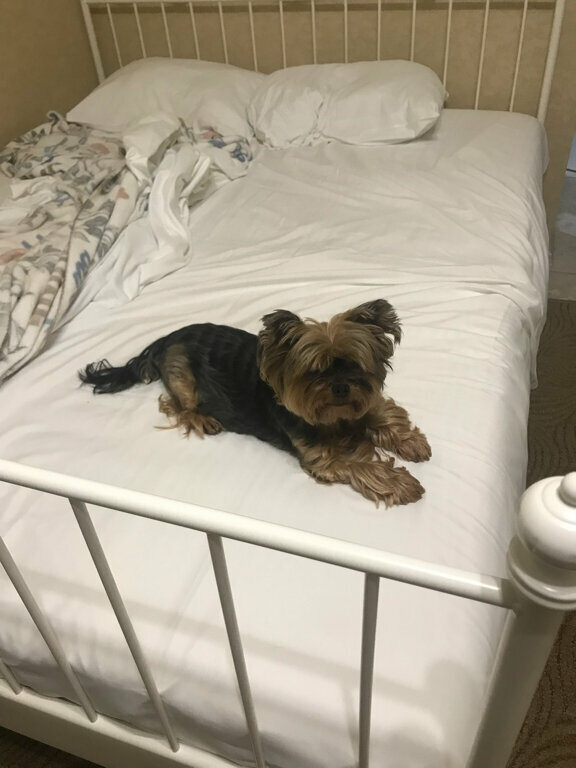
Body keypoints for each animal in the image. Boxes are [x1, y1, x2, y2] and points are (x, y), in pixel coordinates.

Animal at [79, 300, 430, 506]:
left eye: (354, 365)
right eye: (315, 371)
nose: (342, 388)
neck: (335, 417)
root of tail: (164, 339)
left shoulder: (364, 403)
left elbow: (383, 411)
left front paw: (413, 443)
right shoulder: (323, 459)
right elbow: (361, 464)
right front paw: (403, 484)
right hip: (182, 374)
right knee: (178, 404)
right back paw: (204, 419)